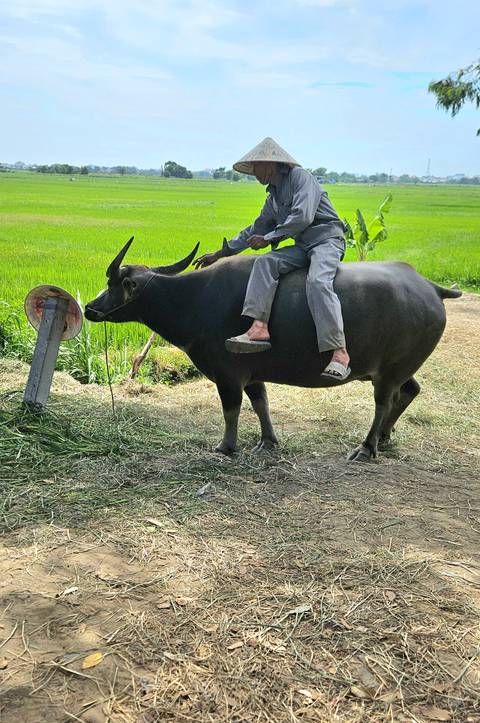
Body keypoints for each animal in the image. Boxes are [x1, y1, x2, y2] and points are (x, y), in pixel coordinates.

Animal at [85, 237, 461, 461]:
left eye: (115, 282)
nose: (90, 307)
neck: (192, 299)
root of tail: (430, 287)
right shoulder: (252, 374)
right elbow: (260, 403)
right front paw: (268, 441)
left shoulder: (227, 374)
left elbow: (232, 409)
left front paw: (226, 446)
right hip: (401, 368)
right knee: (410, 391)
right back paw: (384, 438)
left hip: (389, 372)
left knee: (384, 401)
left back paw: (368, 446)